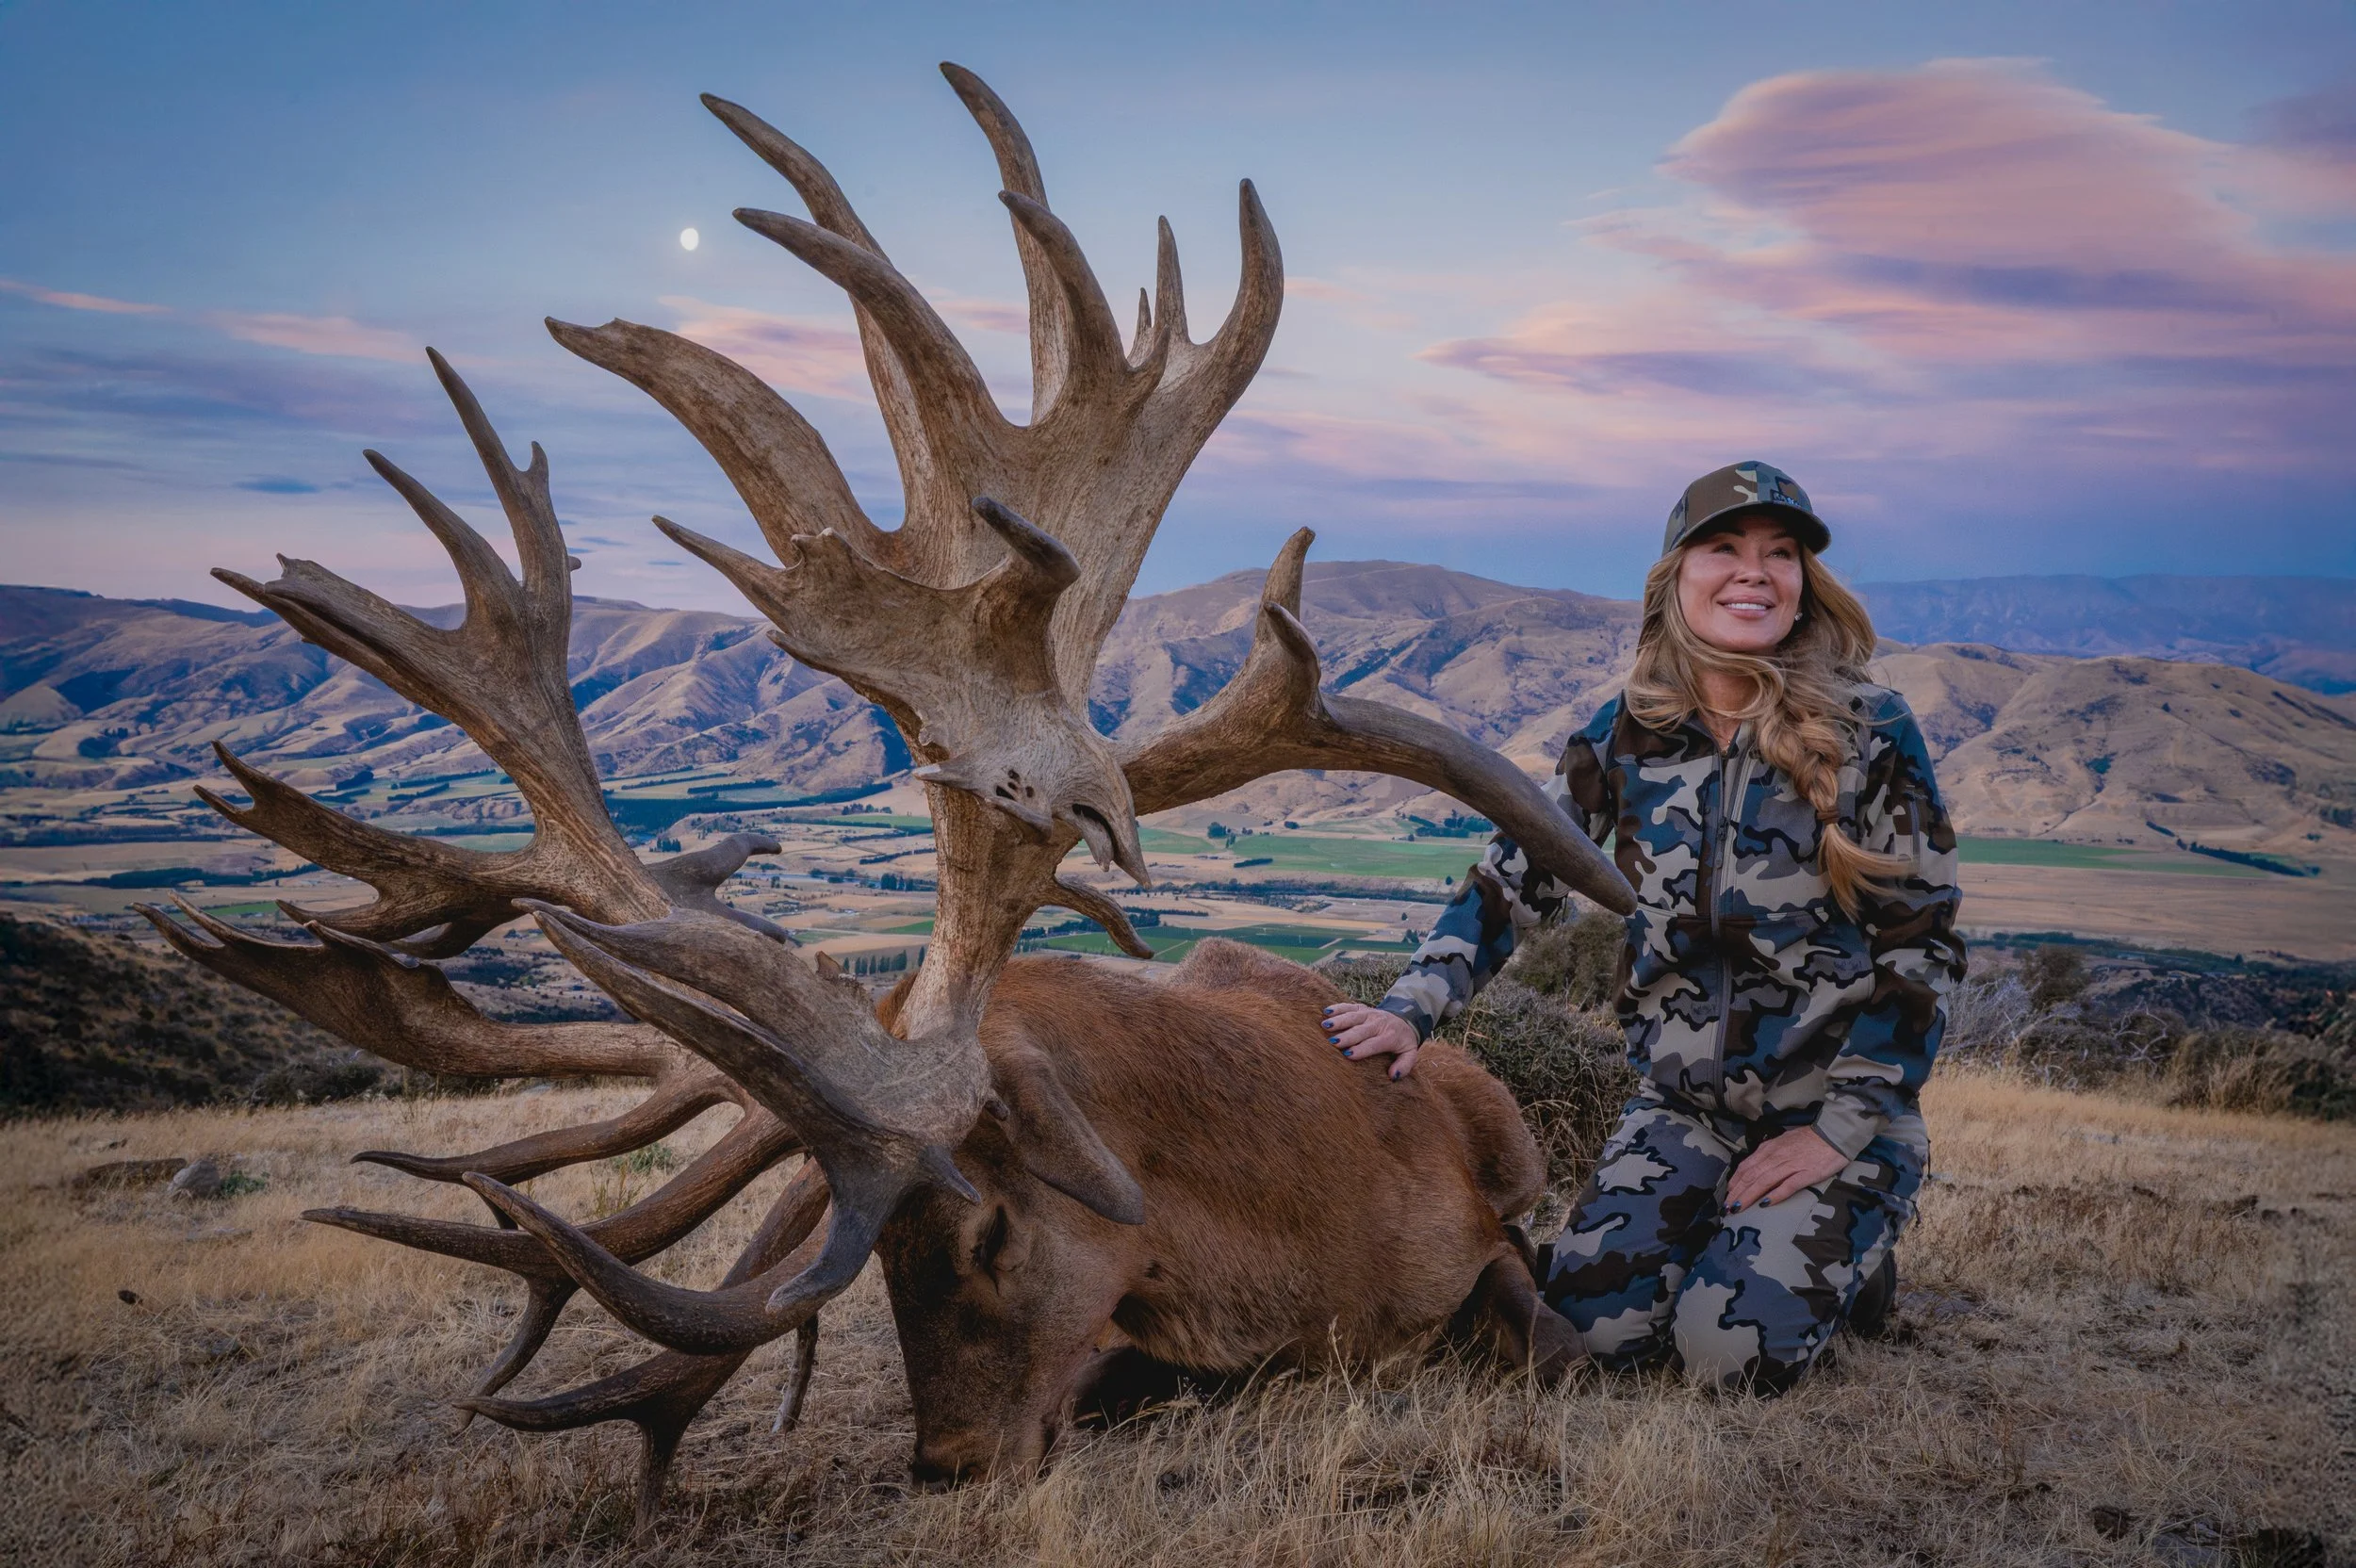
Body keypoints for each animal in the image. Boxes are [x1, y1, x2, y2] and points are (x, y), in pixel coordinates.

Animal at [139, 65, 1635, 1528]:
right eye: (875, 1262)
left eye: (989, 1227)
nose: (947, 1464)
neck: (1294, 1227)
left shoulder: (1492, 1229)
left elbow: (1556, 1339)